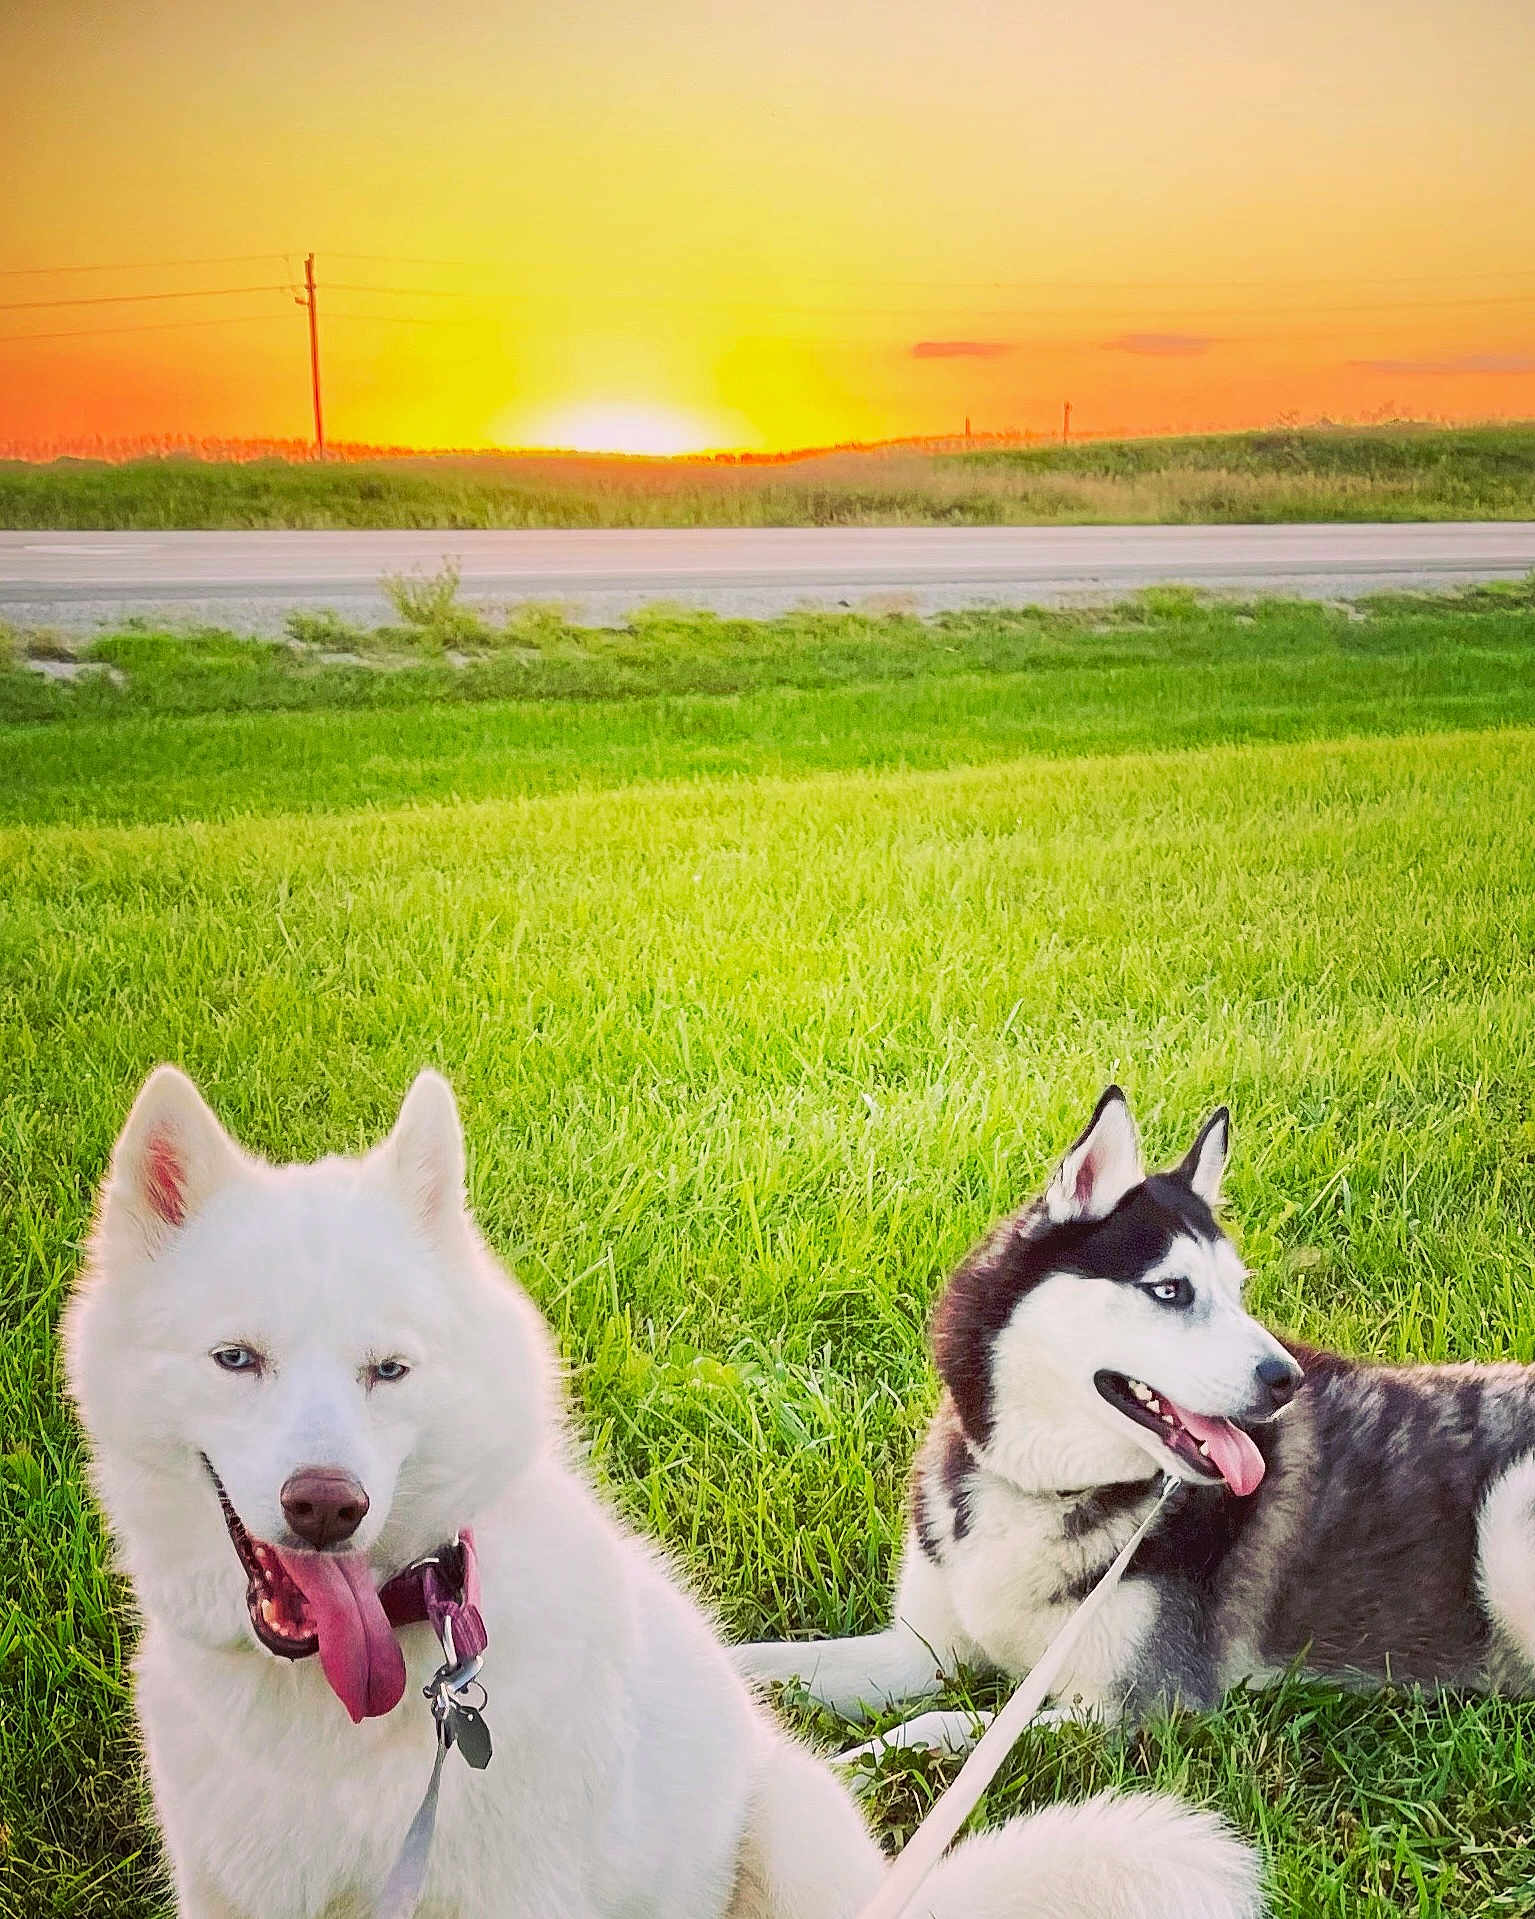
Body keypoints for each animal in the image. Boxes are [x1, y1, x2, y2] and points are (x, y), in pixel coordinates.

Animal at [737, 1086, 1535, 1767]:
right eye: (1171, 1289)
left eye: (1237, 1292)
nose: (1286, 1379)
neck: (1047, 1486)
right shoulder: (923, 1647)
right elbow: (760, 1658)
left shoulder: (1137, 1707)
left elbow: (939, 1725)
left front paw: (841, 1773)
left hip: (1504, 1521)